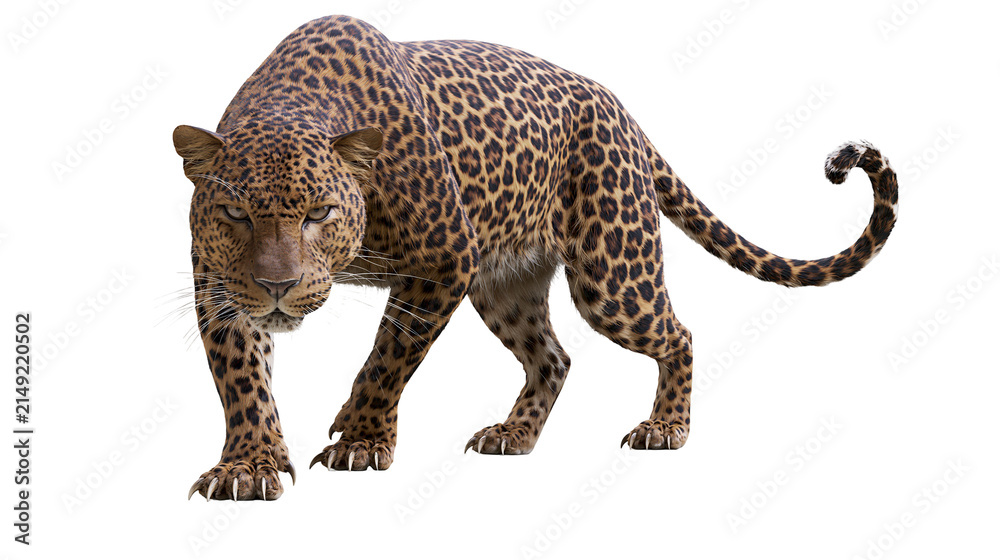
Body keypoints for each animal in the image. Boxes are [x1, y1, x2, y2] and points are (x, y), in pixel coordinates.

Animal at [173, 15, 898, 501]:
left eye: (320, 214)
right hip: (507, 284)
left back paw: (665, 427)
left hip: (612, 275)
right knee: (553, 356)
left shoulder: (444, 260)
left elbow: (388, 357)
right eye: (235, 215)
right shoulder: (219, 287)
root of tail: (623, 112)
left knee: (677, 334)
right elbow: (242, 380)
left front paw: (360, 438)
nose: (278, 285)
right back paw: (513, 435)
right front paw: (248, 466)